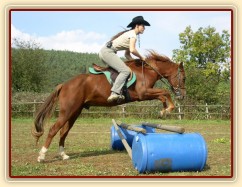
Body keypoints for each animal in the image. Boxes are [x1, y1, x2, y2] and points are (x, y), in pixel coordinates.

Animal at [31, 51, 185, 162]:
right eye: (183, 78)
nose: (182, 96)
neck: (148, 71)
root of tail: (64, 84)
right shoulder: (143, 93)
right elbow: (165, 92)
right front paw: (168, 108)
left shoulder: (146, 93)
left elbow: (162, 95)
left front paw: (164, 110)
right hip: (67, 111)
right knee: (53, 129)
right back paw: (41, 156)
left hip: (75, 112)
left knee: (64, 131)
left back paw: (63, 155)